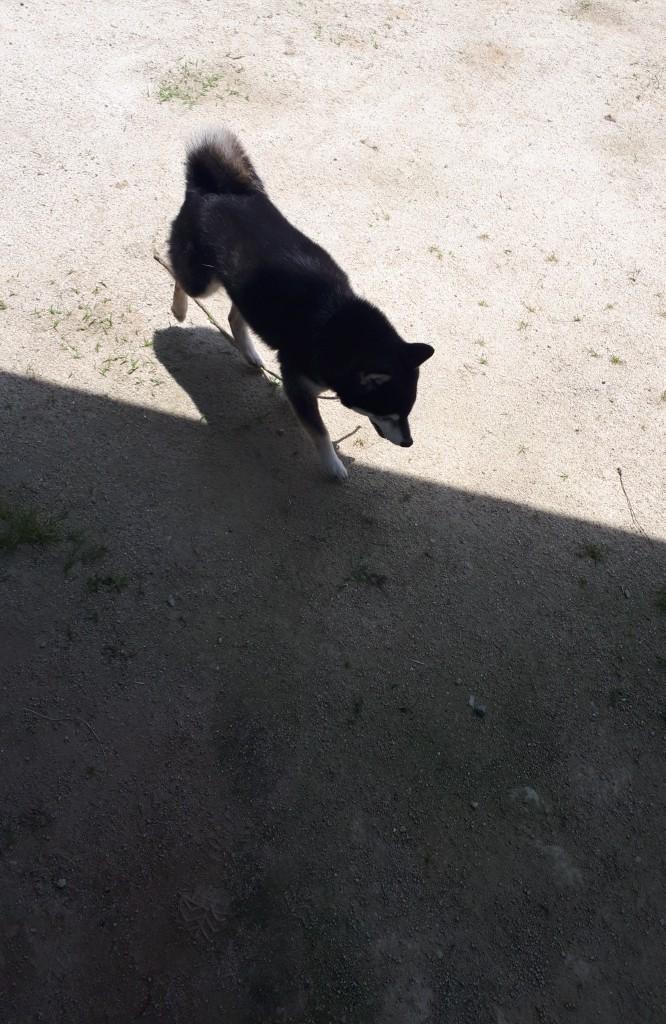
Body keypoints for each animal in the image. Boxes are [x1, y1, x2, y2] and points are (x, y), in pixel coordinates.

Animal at [167, 128, 433, 480]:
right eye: (390, 412)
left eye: (407, 412)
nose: (408, 443)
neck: (336, 326)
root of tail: (211, 190)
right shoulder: (300, 381)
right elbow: (320, 432)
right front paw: (333, 465)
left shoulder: (302, 380)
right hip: (204, 282)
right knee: (179, 276)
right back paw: (179, 309)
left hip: (249, 294)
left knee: (235, 317)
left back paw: (249, 353)